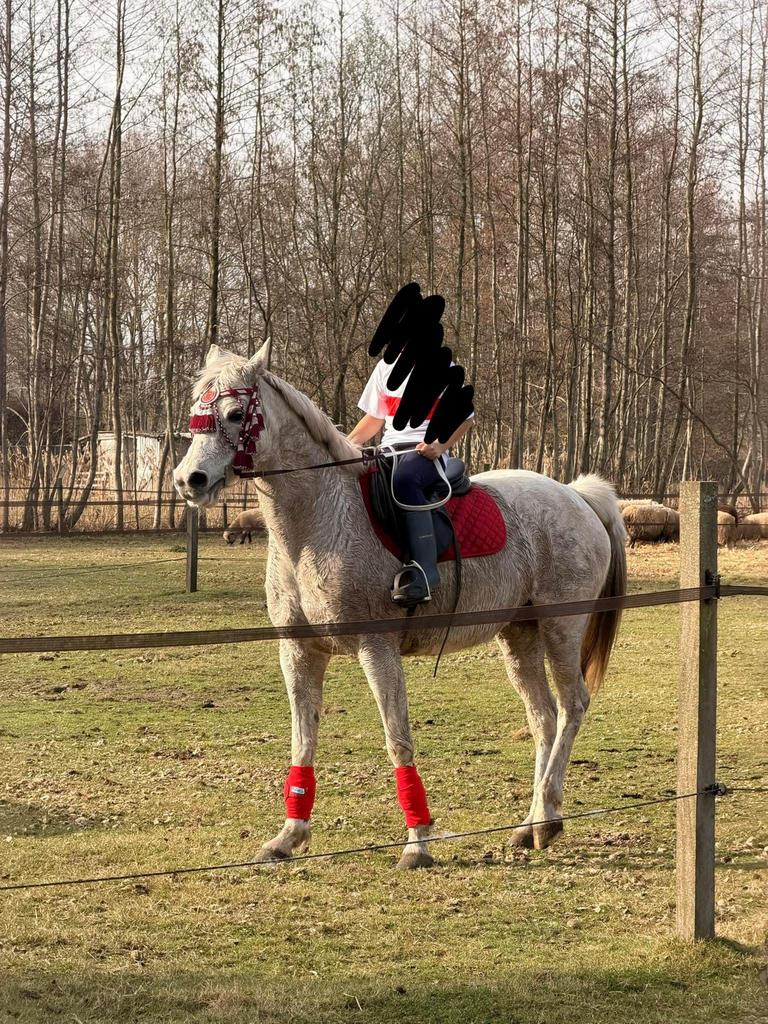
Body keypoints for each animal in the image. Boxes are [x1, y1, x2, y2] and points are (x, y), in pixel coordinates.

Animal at [174, 341, 627, 869]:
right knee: (544, 718)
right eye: (196, 412)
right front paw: (288, 836)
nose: (188, 480)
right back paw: (531, 824)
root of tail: (575, 494)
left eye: (234, 413)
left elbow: (398, 741)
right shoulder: (299, 651)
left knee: (572, 706)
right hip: (519, 634)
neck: (318, 520)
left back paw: (549, 819)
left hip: (560, 627)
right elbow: (303, 740)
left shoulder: (378, 649)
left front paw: (417, 843)